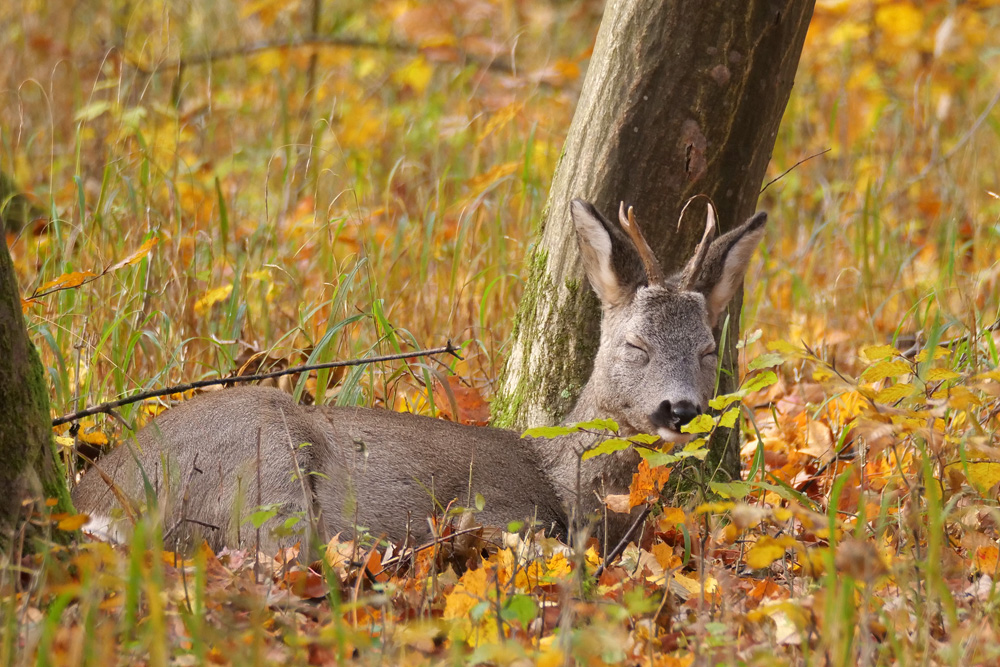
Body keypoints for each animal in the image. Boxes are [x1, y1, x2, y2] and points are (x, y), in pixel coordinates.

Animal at [72, 198, 764, 552]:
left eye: (708, 350)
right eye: (636, 344)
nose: (681, 410)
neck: (564, 477)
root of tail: (91, 497)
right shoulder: (493, 505)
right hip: (264, 465)